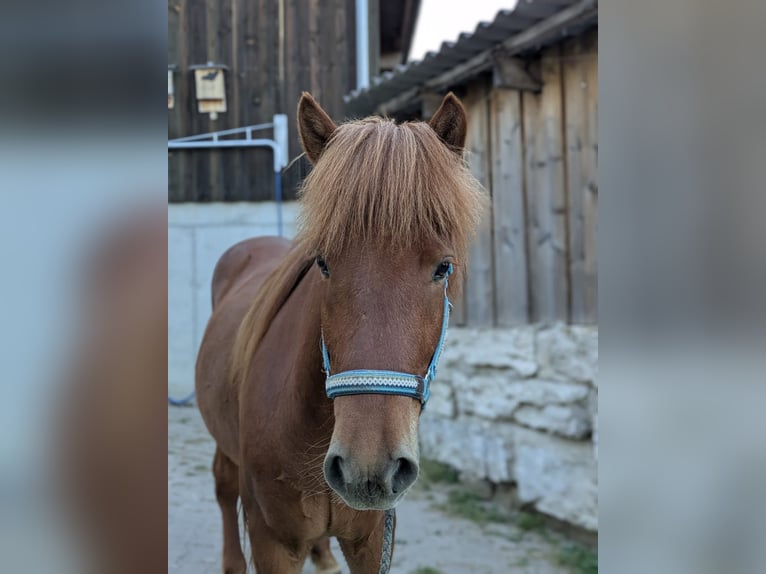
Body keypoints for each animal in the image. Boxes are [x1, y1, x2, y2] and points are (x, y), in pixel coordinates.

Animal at [195, 91, 484, 573]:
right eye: (323, 262)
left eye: (443, 268)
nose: (368, 469)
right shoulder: (271, 541)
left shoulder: (373, 539)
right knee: (222, 483)